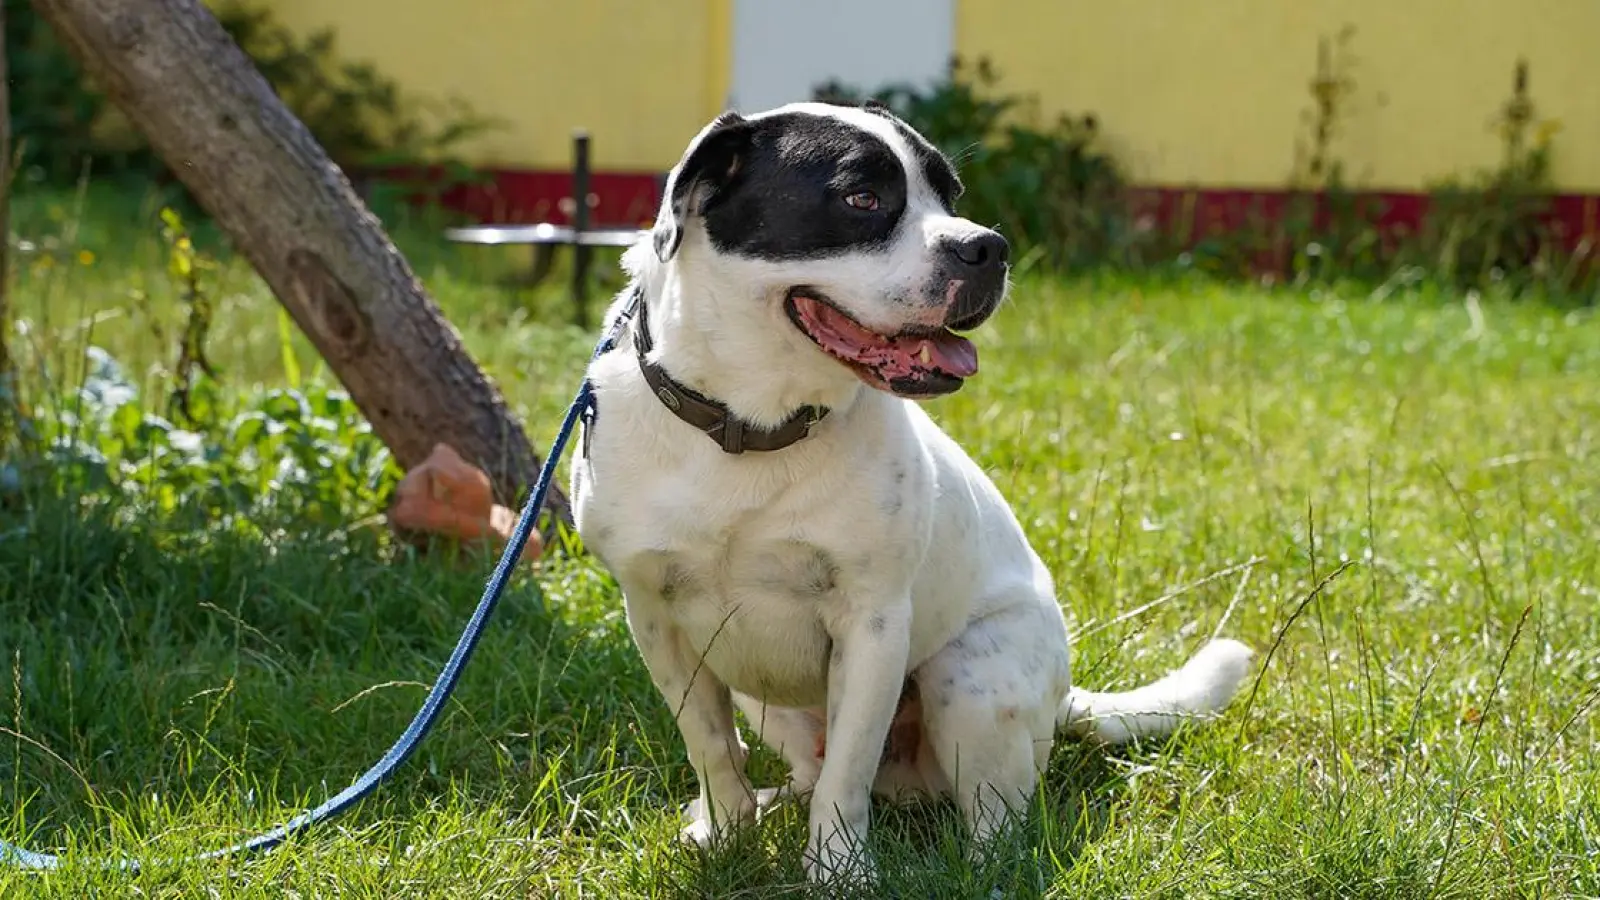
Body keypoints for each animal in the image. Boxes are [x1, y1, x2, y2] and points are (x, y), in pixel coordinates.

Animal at [569, 101, 1254, 877]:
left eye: (951, 197)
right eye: (862, 198)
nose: (989, 247)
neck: (751, 426)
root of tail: (1063, 698)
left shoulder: (872, 625)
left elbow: (849, 768)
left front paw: (838, 870)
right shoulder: (656, 617)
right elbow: (709, 743)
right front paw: (727, 832)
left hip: (972, 679)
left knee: (997, 816)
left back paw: (982, 868)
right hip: (767, 699)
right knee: (806, 766)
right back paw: (774, 804)